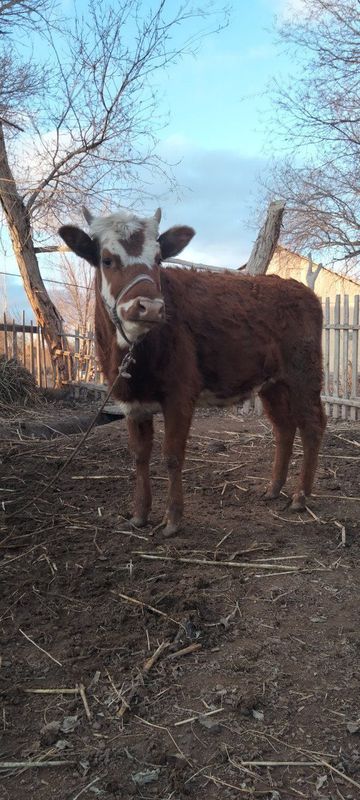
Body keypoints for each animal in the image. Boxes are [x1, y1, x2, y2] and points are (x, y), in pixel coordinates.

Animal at [59, 206, 326, 536]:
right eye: (107, 259)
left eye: (158, 259)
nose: (149, 307)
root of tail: (297, 287)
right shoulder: (130, 401)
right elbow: (139, 455)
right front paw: (139, 514)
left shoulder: (180, 395)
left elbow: (172, 455)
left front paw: (173, 519)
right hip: (272, 385)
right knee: (284, 428)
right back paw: (273, 489)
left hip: (304, 375)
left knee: (312, 425)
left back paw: (301, 496)